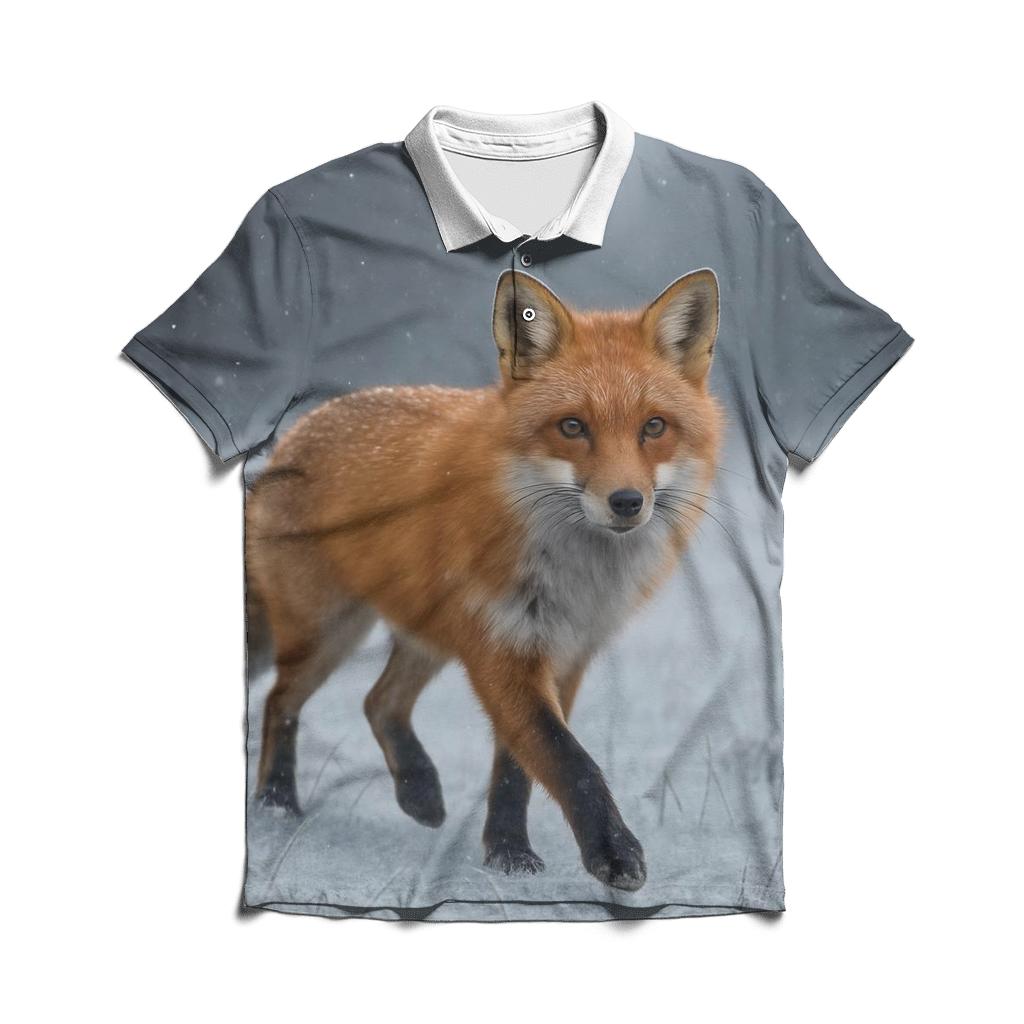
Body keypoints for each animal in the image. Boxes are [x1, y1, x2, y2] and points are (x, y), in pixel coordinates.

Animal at [245, 268, 723, 891]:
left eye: (655, 427)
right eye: (572, 426)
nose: (626, 502)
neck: (576, 576)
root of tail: (296, 430)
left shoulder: (563, 655)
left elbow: (520, 766)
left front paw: (506, 853)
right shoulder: (504, 651)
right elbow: (570, 761)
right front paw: (611, 852)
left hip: (427, 631)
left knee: (379, 702)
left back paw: (418, 791)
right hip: (328, 633)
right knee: (281, 701)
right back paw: (277, 803)